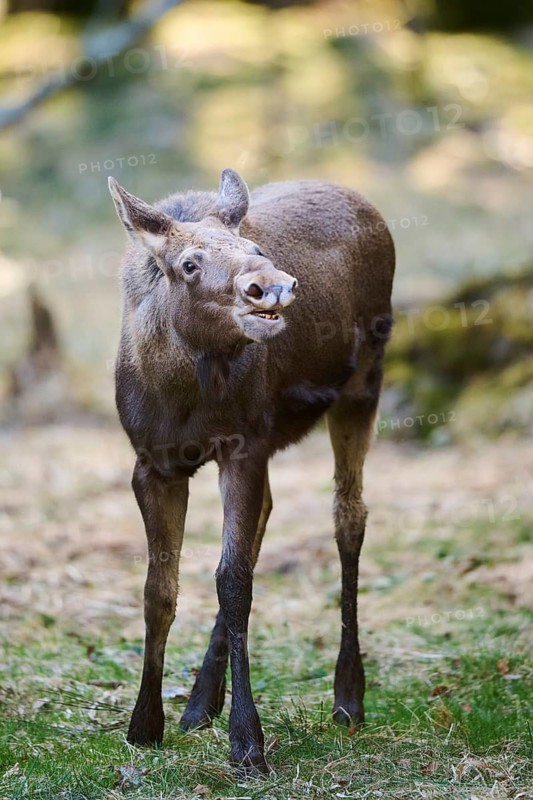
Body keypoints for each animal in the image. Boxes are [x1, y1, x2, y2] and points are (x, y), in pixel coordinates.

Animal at [108, 168, 395, 776]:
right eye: (188, 264)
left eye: (256, 250)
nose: (272, 285)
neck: (185, 394)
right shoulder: (151, 464)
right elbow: (159, 589)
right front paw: (145, 725)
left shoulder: (244, 448)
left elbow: (233, 583)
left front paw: (248, 743)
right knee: (265, 520)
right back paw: (198, 705)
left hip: (363, 384)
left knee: (349, 516)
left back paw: (348, 695)